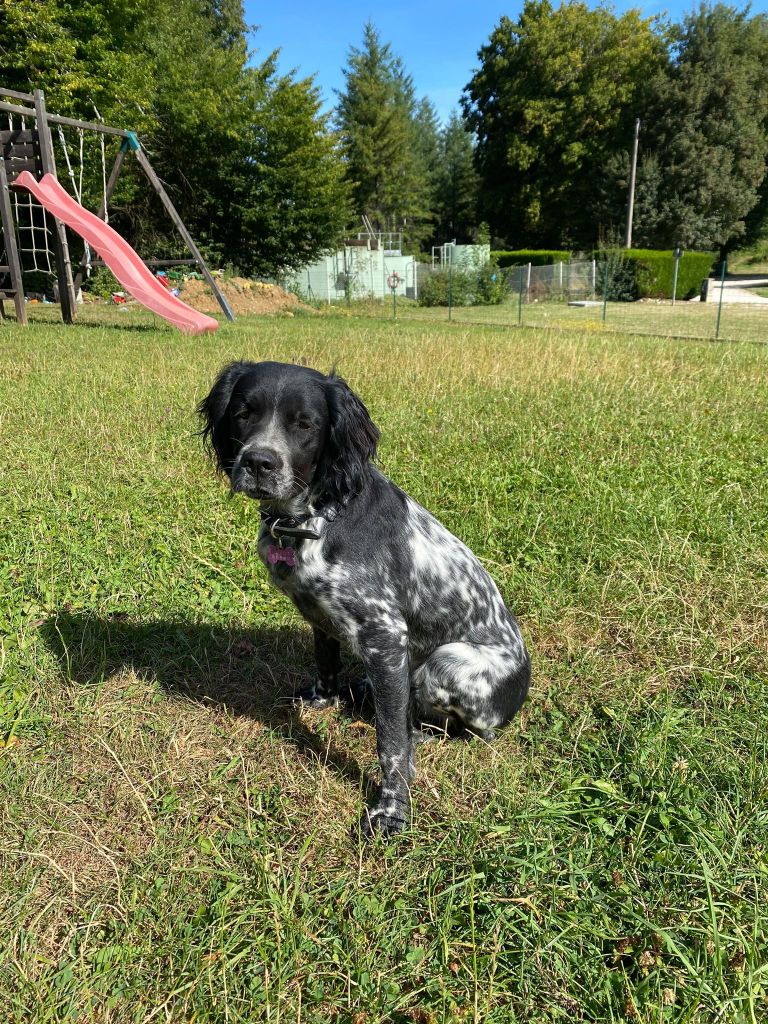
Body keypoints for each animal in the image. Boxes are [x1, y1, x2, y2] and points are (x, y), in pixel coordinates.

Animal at [201, 364, 532, 835]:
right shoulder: (319, 613)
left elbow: (390, 743)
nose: (258, 462)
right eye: (244, 413)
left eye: (305, 424)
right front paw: (323, 700)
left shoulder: (386, 637)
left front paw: (392, 809)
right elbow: (326, 662)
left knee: (465, 730)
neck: (316, 516)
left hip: (447, 664)